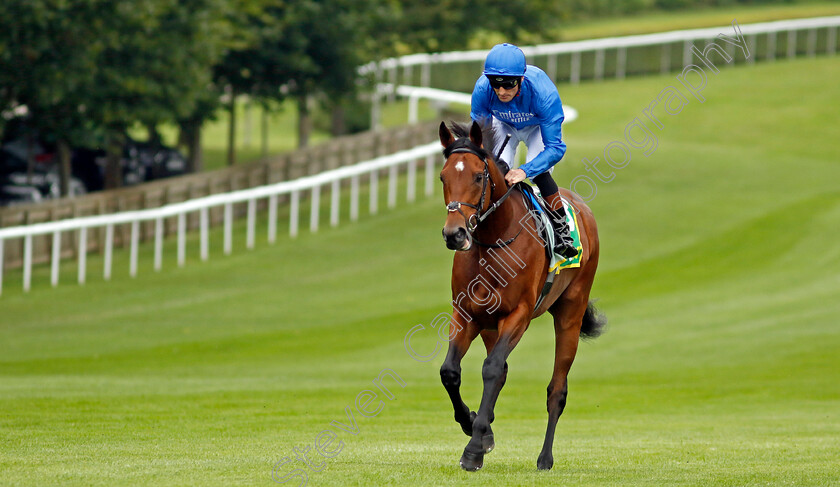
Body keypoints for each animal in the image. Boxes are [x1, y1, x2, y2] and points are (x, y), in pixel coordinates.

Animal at [436, 119, 608, 472]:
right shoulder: (468, 313)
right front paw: (473, 426)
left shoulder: (519, 314)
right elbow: (451, 372)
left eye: (478, 176)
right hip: (489, 324)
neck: (494, 240)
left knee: (556, 389)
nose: (454, 234)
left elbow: (490, 369)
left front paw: (472, 449)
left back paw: (545, 457)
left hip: (570, 314)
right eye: (444, 177)